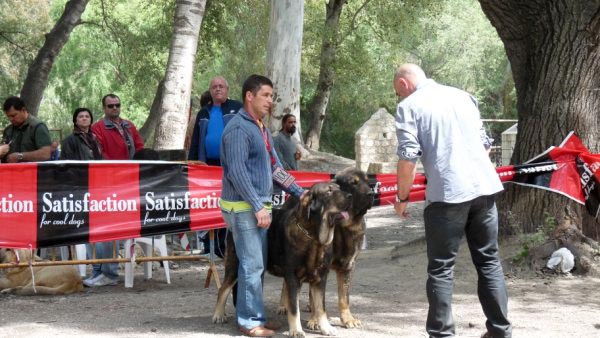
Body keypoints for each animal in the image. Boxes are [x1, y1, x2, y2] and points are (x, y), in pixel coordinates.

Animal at [213, 184, 350, 336]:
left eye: (338, 187)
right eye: (329, 191)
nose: (351, 196)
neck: (313, 237)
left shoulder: (320, 278)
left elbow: (321, 307)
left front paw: (326, 328)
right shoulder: (293, 277)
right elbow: (294, 309)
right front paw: (296, 330)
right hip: (235, 265)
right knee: (223, 289)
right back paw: (219, 315)